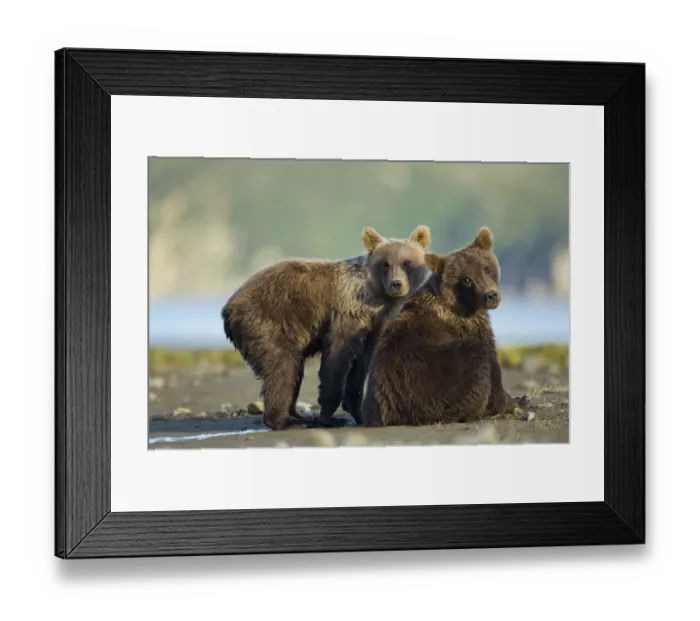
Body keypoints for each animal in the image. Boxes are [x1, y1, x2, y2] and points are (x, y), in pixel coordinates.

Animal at [221, 225, 432, 431]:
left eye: (407, 262)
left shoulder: (373, 326)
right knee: (282, 368)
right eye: (385, 263)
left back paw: (297, 415)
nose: (396, 284)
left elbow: (361, 366)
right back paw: (289, 420)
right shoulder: (347, 314)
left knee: (293, 371)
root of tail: (228, 308)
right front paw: (331, 417)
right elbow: (336, 359)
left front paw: (357, 412)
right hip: (267, 322)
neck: (374, 299)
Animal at [361, 226, 526, 427]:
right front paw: (516, 401)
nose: (491, 295)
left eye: (486, 268)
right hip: (431, 380)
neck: (463, 305)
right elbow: (491, 358)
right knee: (475, 357)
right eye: (466, 279)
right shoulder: (471, 327)